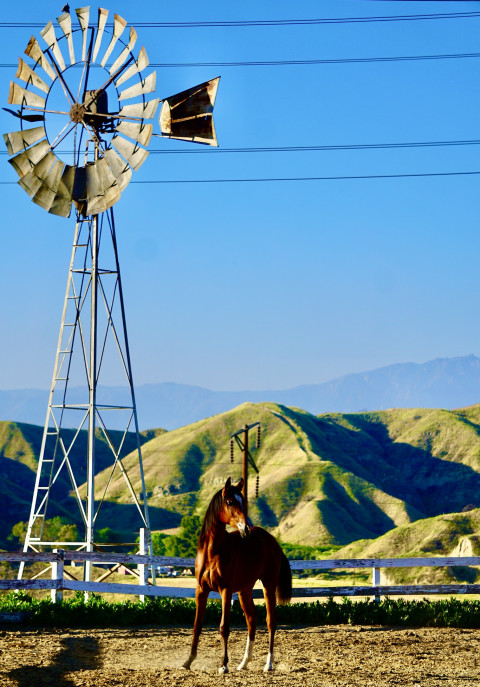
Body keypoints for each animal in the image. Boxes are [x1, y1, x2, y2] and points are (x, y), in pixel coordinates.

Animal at [182, 476, 290, 676]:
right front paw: (188, 661)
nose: (246, 528)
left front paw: (223, 665)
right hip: (244, 591)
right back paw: (244, 663)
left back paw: (268, 664)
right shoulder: (201, 590)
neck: (213, 553)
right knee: (252, 620)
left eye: (243, 501)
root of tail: (272, 541)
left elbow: (224, 627)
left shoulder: (225, 590)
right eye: (230, 502)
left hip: (268, 586)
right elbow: (197, 625)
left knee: (270, 622)